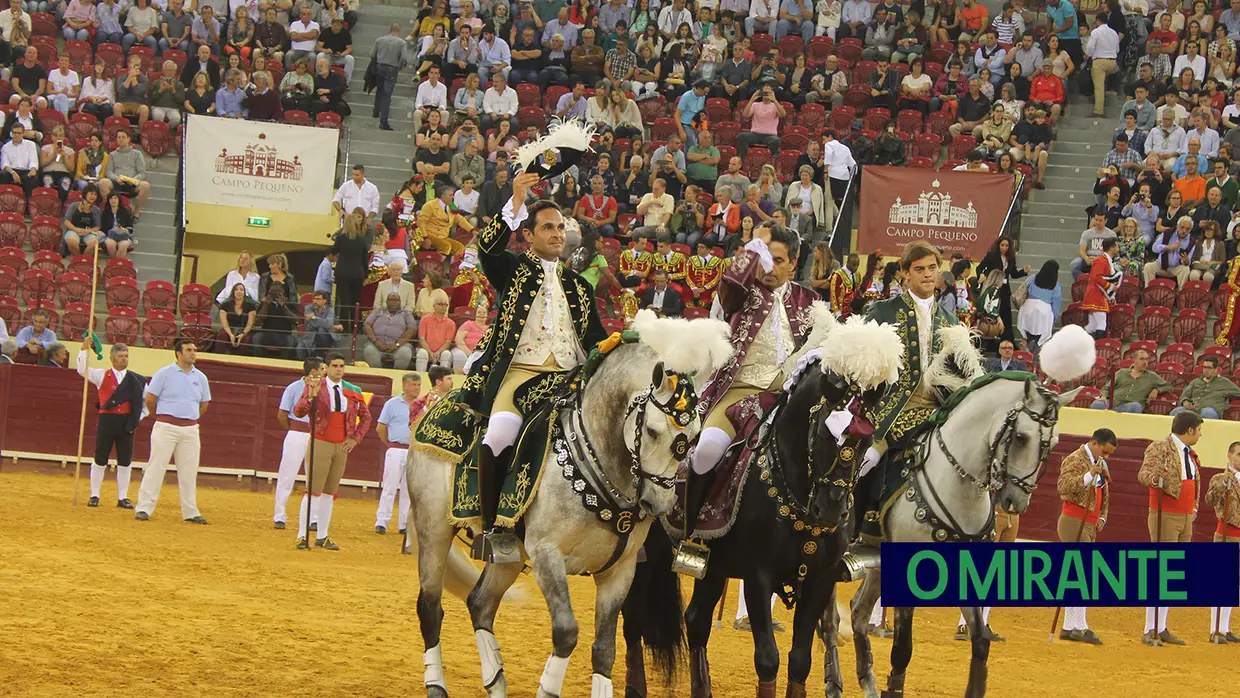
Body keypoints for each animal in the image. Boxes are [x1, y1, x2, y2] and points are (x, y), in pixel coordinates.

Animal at [411, 312, 729, 698]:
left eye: (694, 438)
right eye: (653, 431)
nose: (658, 502)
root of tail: (440, 404)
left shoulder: (620, 570)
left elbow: (604, 649)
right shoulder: (547, 554)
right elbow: (566, 632)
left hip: (511, 554)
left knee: (480, 604)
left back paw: (496, 681)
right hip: (433, 529)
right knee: (430, 606)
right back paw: (436, 685)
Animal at [620, 359, 882, 698]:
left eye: (866, 442)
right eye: (825, 434)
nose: (830, 512)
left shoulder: (820, 579)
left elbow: (800, 661)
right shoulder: (759, 576)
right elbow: (768, 659)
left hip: (713, 568)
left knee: (696, 620)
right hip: (643, 554)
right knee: (632, 619)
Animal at [823, 327, 1096, 698]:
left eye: (1052, 444)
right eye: (1021, 437)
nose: (1016, 502)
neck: (958, 483)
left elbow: (980, 642)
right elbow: (902, 649)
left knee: (858, 613)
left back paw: (868, 683)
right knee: (830, 620)